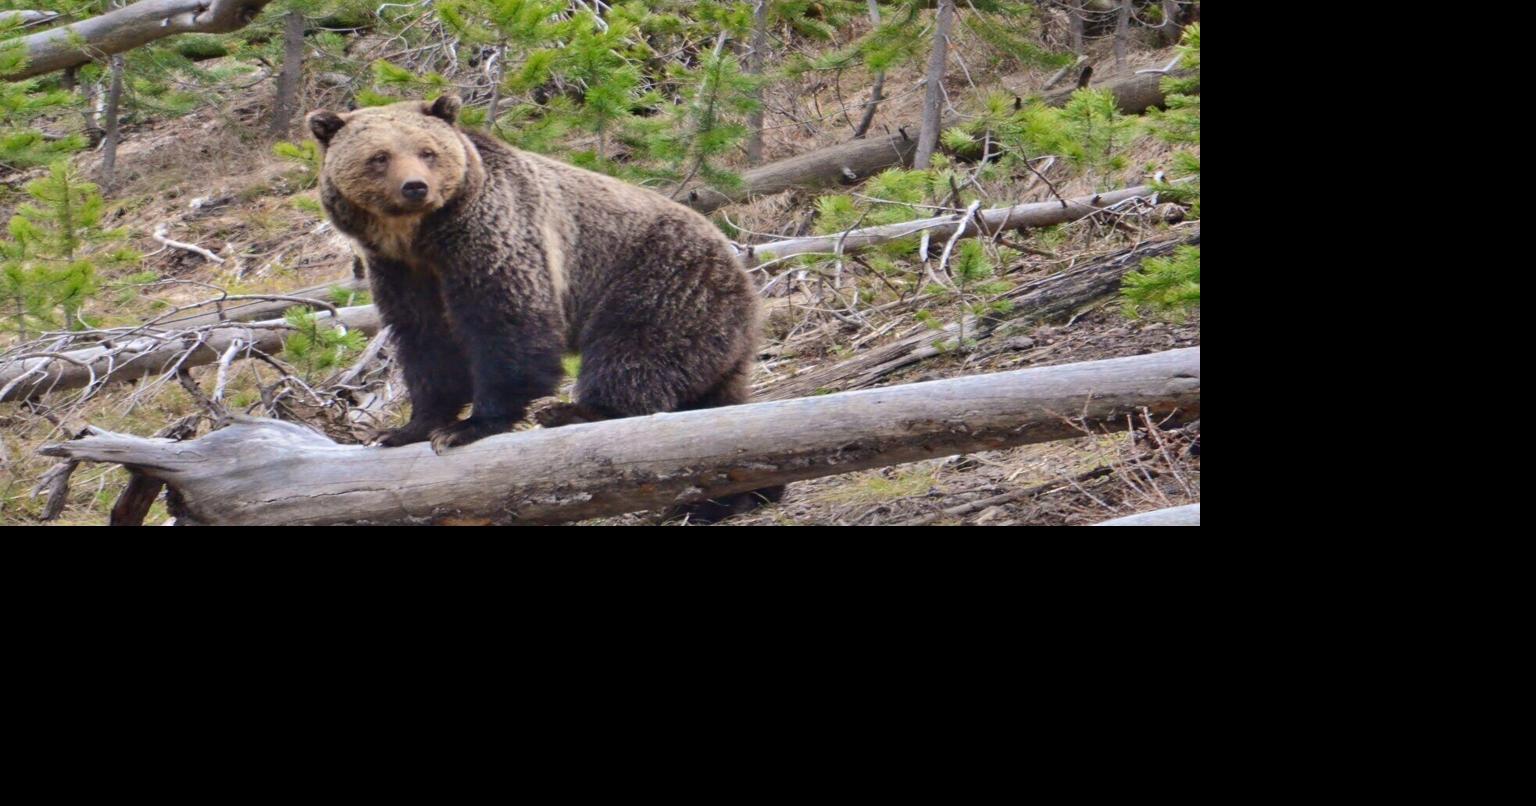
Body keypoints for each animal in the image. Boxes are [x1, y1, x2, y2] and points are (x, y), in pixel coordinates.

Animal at [307, 95, 781, 522]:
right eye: (379, 157)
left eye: (428, 151)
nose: (415, 187)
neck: (420, 238)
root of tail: (741, 268)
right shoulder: (401, 272)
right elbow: (426, 345)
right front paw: (406, 429)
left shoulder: (492, 236)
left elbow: (506, 324)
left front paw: (469, 426)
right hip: (711, 331)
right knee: (712, 403)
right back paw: (727, 498)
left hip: (659, 281)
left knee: (635, 354)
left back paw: (575, 412)